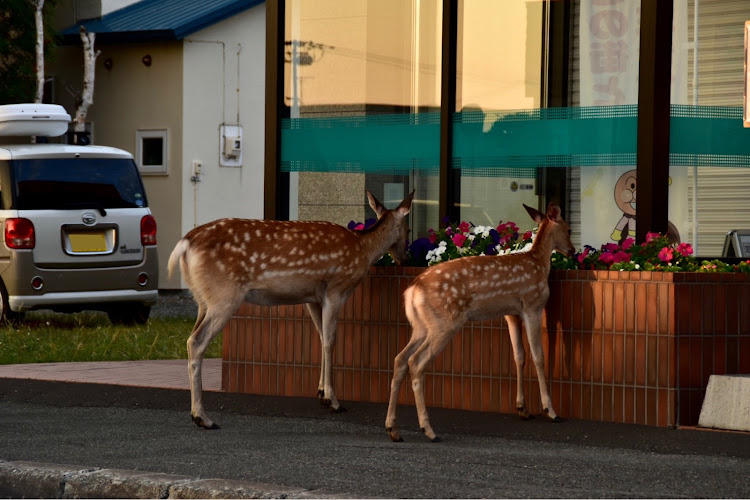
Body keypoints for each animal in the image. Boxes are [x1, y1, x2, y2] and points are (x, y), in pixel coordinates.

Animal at [169, 189, 418, 428]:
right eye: (408, 228)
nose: (404, 259)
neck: (364, 247)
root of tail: (185, 243)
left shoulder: (313, 298)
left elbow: (321, 336)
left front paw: (320, 393)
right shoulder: (336, 289)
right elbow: (330, 340)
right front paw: (333, 400)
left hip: (202, 299)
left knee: (192, 338)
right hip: (224, 294)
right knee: (196, 341)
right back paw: (202, 417)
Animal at [388, 202, 576, 442]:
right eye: (568, 229)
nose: (572, 250)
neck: (539, 263)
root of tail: (412, 291)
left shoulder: (511, 313)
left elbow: (519, 356)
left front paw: (523, 409)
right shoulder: (532, 304)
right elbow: (538, 356)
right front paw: (550, 410)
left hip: (421, 326)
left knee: (400, 359)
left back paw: (393, 429)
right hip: (445, 322)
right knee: (416, 362)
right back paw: (429, 430)